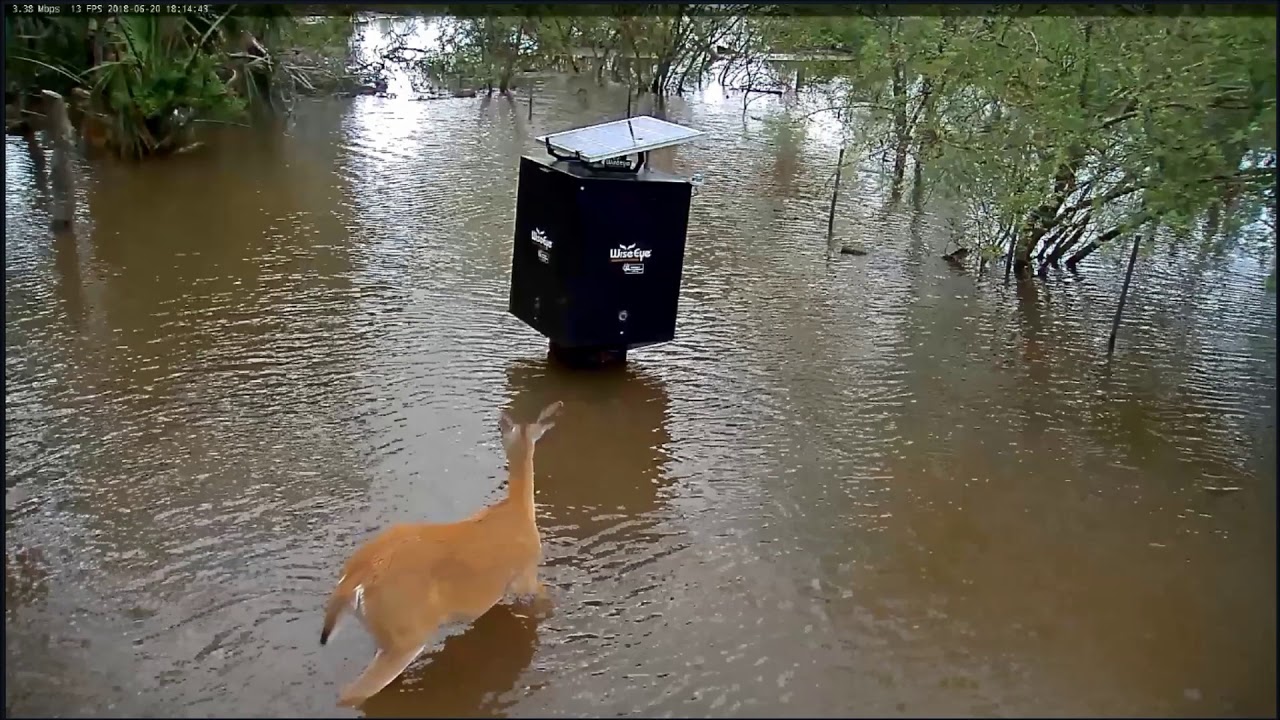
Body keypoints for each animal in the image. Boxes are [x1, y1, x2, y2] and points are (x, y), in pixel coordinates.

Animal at [319, 400, 563, 707]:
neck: (519, 509)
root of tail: (356, 575)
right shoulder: (525, 575)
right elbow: (546, 599)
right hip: (406, 632)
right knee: (353, 692)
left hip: (386, 634)